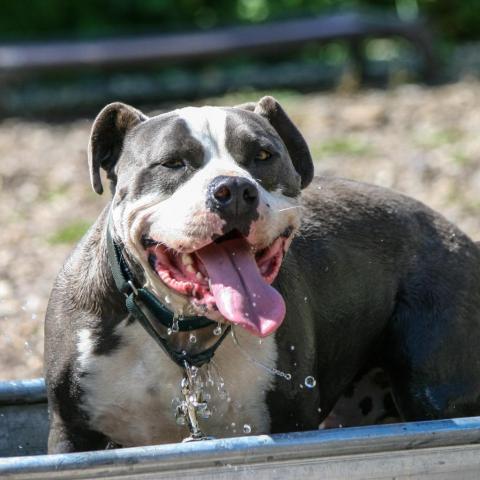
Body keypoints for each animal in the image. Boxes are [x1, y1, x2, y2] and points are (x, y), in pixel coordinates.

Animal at [45, 95, 480, 452]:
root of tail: (461, 237)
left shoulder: (290, 423)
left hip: (433, 383)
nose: (234, 189)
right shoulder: (71, 434)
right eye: (173, 163)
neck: (184, 331)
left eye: (263, 155)